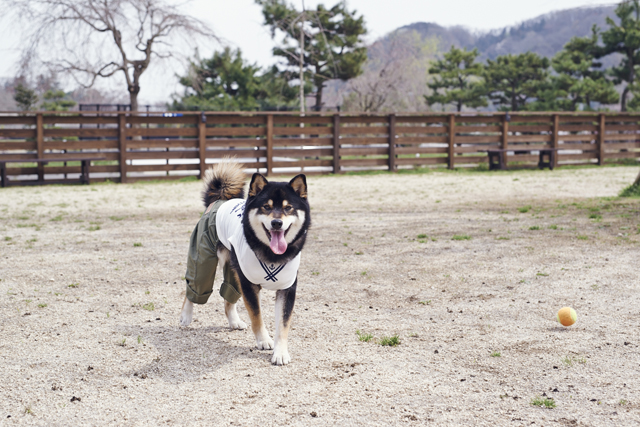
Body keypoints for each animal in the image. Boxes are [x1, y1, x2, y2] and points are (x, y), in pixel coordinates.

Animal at [179, 162, 312, 366]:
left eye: (288, 207)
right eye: (266, 207)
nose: (276, 223)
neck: (271, 255)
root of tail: (218, 199)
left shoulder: (287, 288)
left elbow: (283, 323)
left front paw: (280, 352)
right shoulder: (249, 285)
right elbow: (256, 316)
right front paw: (264, 341)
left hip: (235, 270)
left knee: (228, 296)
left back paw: (234, 321)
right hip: (204, 262)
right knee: (194, 287)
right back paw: (186, 316)